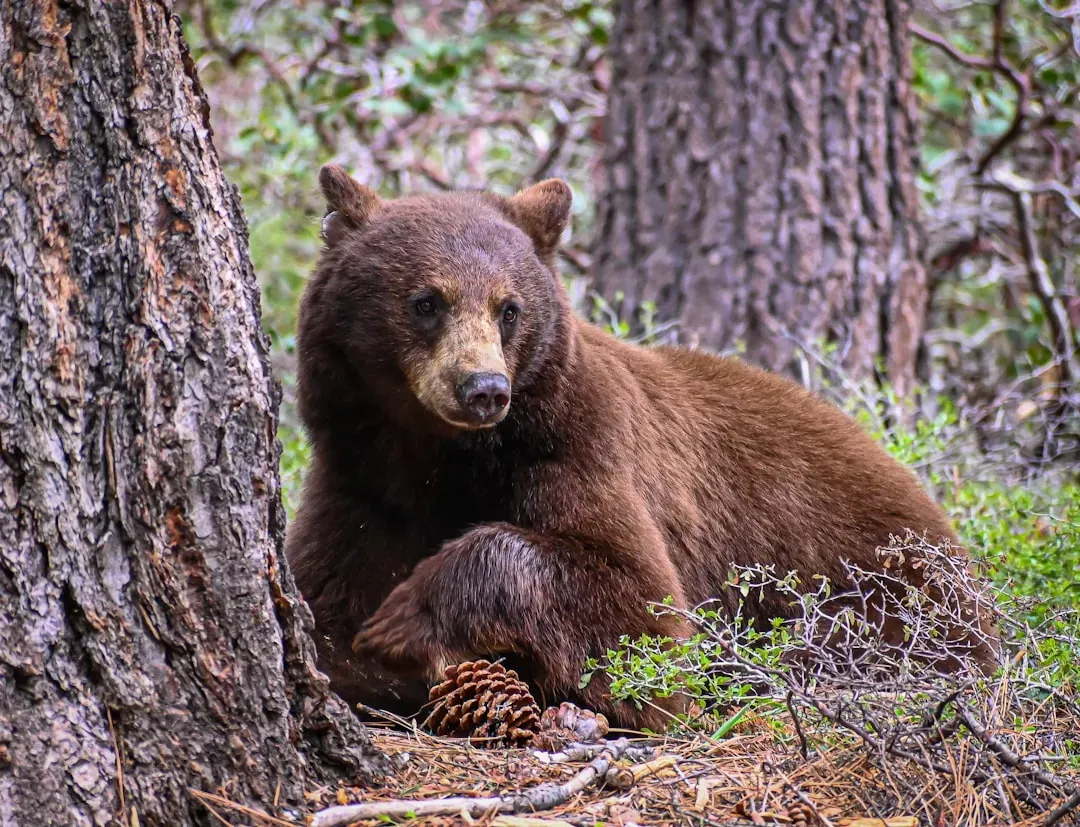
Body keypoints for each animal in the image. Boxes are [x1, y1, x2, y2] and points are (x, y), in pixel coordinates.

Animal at [285, 165, 999, 731]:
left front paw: (404, 620)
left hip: (882, 592)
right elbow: (323, 603)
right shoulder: (359, 485)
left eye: (509, 308)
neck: (441, 459)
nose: (483, 389)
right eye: (427, 301)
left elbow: (640, 615)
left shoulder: (577, 446)